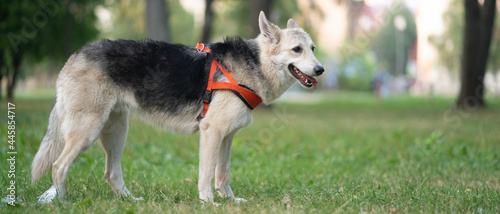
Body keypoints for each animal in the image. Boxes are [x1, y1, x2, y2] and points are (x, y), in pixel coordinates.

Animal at [33, 11, 326, 204]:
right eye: (297, 49)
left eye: (312, 48)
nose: (321, 70)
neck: (256, 64)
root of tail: (75, 55)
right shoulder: (212, 132)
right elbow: (206, 175)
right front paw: (209, 203)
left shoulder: (227, 137)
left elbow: (223, 174)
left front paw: (229, 201)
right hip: (88, 131)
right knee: (58, 166)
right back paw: (63, 203)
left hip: (116, 132)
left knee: (111, 174)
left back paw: (132, 202)